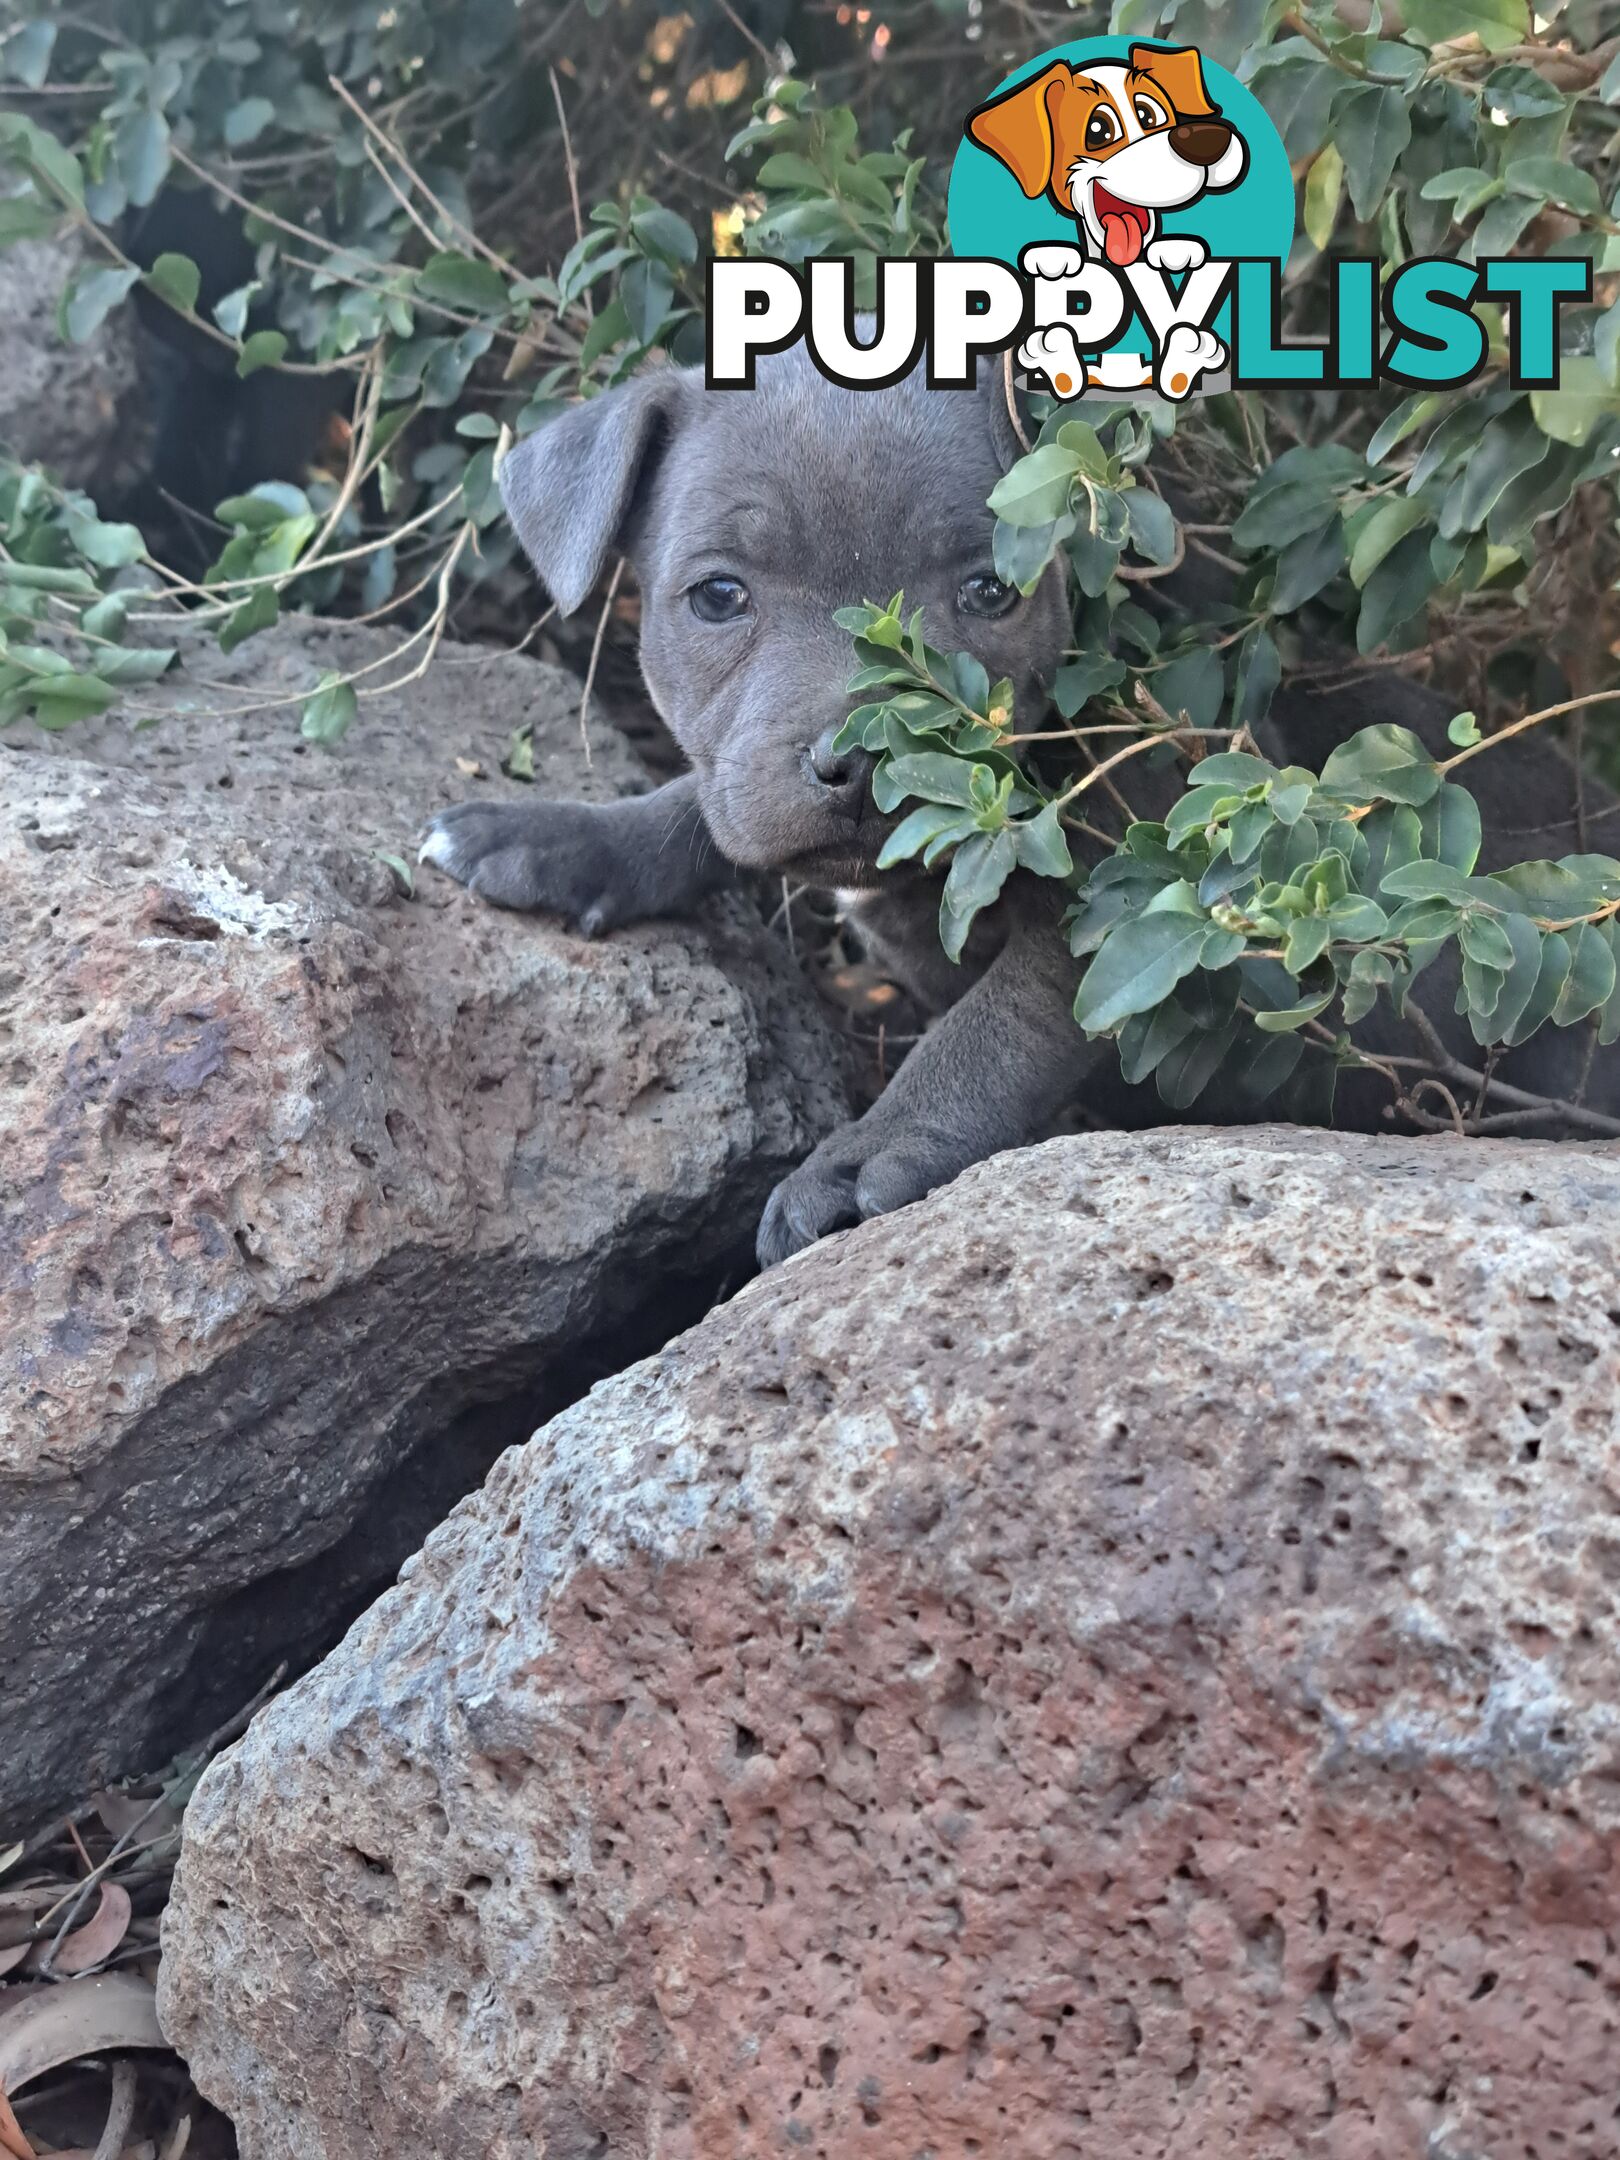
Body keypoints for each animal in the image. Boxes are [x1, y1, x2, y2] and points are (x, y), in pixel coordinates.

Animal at [425, 343, 1097, 1261]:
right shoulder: (739, 779)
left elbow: (1006, 1017)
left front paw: (867, 1153)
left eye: (994, 591)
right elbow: (697, 807)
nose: (860, 759)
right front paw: (558, 837)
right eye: (718, 595)